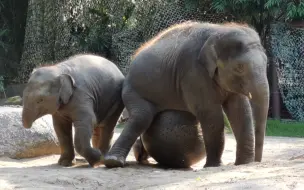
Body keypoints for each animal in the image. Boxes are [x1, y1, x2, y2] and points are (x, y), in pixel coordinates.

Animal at [103, 21, 270, 169]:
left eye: (266, 63)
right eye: (239, 68)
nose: (257, 161)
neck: (219, 30)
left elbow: (240, 111)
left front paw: (243, 163)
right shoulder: (193, 72)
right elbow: (211, 114)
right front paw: (213, 166)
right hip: (133, 91)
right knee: (141, 117)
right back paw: (114, 162)